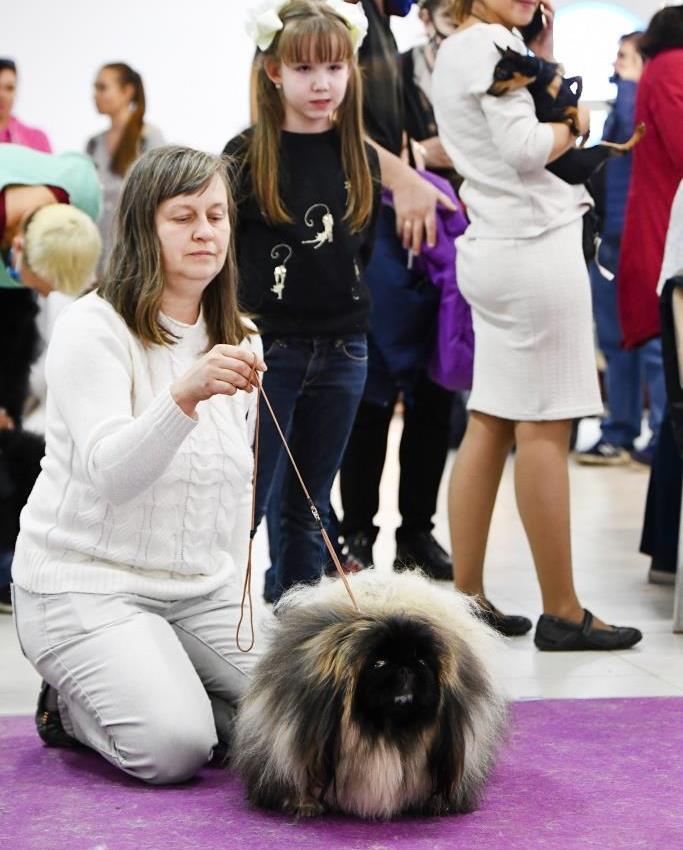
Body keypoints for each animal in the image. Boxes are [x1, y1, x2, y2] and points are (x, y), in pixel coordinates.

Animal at [488, 45, 645, 185]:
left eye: (501, 74)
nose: (487, 91)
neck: (541, 75)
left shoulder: (562, 80)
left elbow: (576, 79)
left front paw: (578, 92)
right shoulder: (546, 112)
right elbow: (571, 109)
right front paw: (576, 125)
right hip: (597, 151)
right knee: (622, 149)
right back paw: (639, 130)